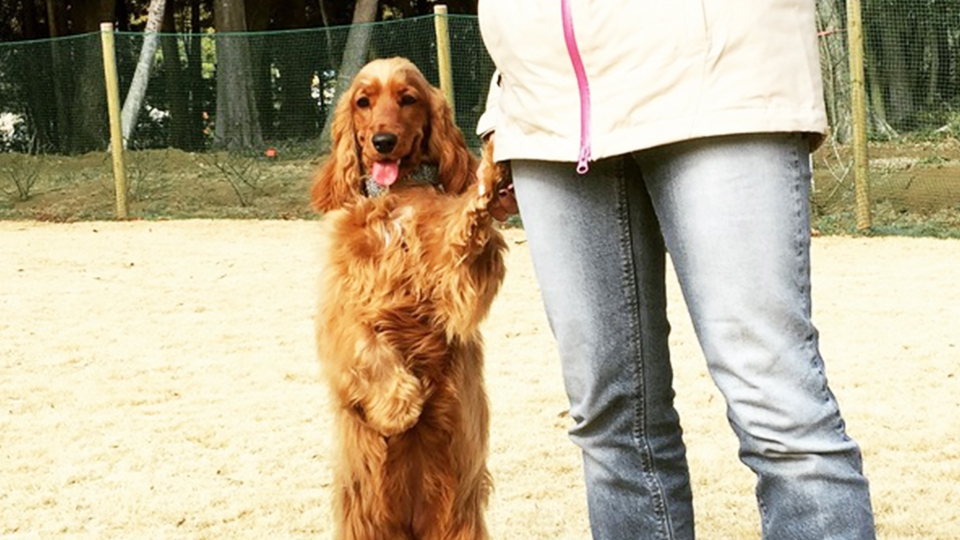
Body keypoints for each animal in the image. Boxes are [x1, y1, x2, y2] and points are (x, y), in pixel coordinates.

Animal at [314, 58, 510, 540]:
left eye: (408, 99)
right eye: (363, 101)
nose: (383, 142)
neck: (394, 199)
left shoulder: (456, 280)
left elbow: (464, 236)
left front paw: (488, 177)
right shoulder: (341, 308)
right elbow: (365, 344)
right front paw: (400, 405)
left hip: (455, 510)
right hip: (365, 513)